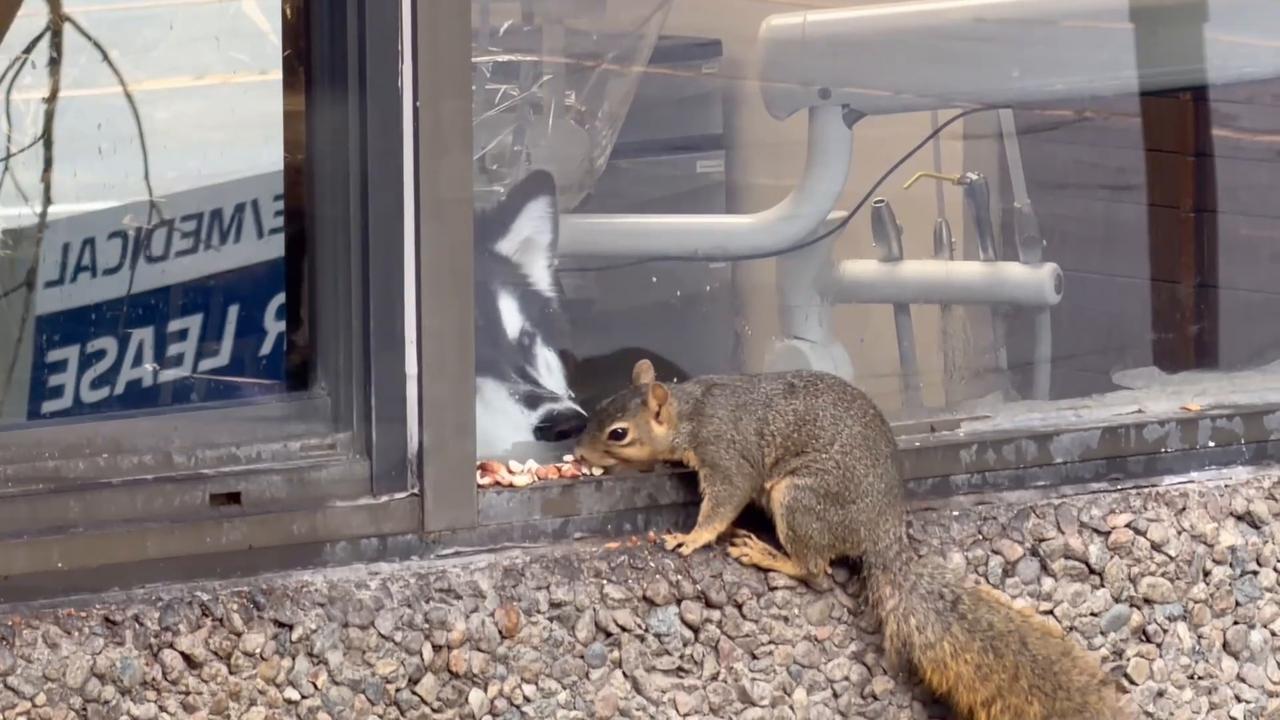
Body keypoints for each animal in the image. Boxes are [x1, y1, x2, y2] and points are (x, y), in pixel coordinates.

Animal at [574, 359, 1130, 720]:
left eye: (618, 433)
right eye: (596, 408)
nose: (578, 454)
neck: (691, 411)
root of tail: (881, 533)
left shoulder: (727, 453)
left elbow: (725, 498)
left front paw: (691, 537)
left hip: (801, 501)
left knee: (815, 571)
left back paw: (768, 554)